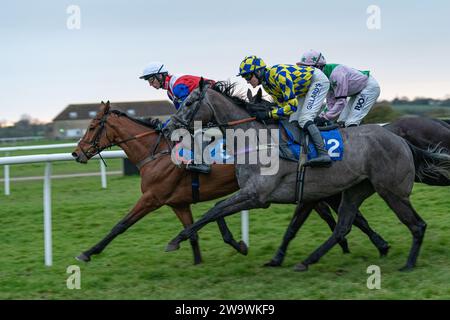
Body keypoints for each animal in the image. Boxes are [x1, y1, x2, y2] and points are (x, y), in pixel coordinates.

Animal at [164, 80, 450, 272]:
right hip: (358, 189)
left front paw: (177, 239)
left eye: (188, 102)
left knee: (417, 225)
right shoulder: (299, 196)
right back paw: (307, 260)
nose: (168, 128)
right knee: (343, 225)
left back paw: (409, 264)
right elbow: (218, 210)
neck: (259, 140)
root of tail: (400, 140)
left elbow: (214, 210)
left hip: (392, 191)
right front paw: (249, 249)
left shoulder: (257, 195)